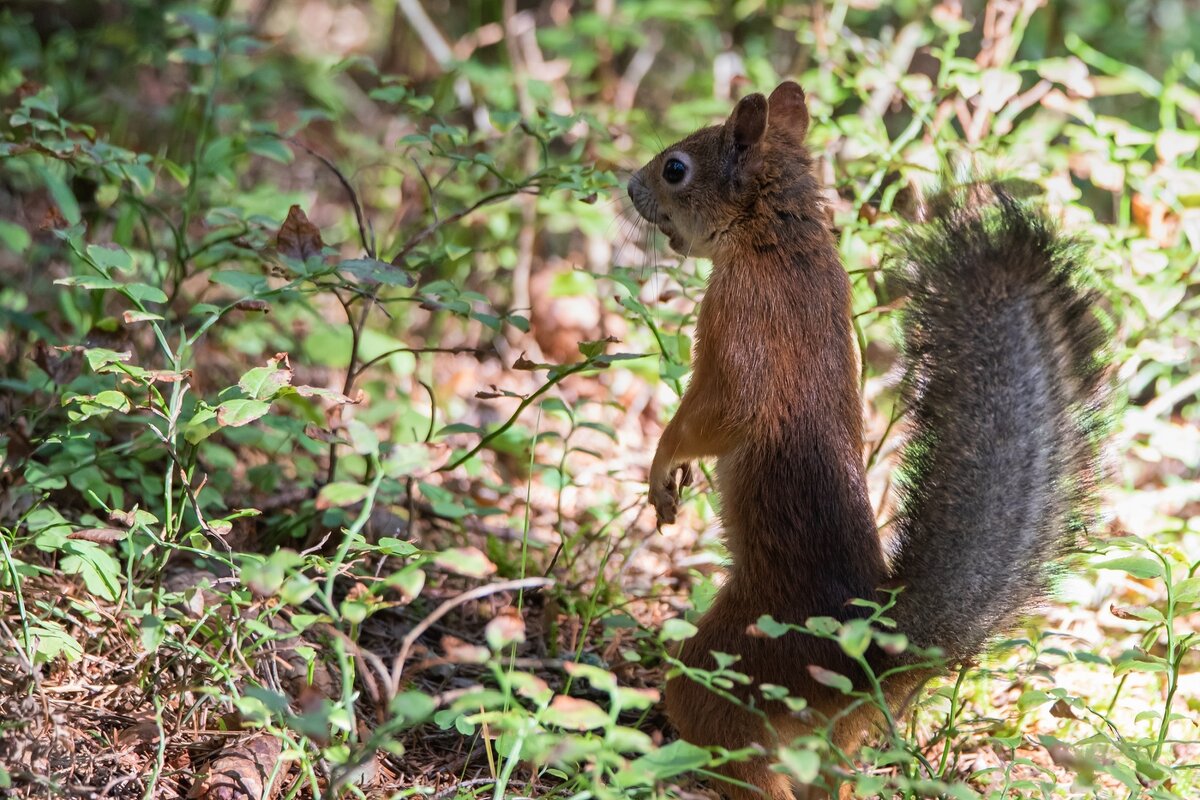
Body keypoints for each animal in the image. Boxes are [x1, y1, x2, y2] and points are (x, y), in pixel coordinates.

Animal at [628, 82, 1104, 800]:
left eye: (675, 169)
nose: (630, 188)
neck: (779, 239)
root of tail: (865, 657)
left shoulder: (742, 317)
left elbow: (719, 413)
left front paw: (663, 465)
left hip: (736, 663)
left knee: (738, 749)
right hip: (835, 733)